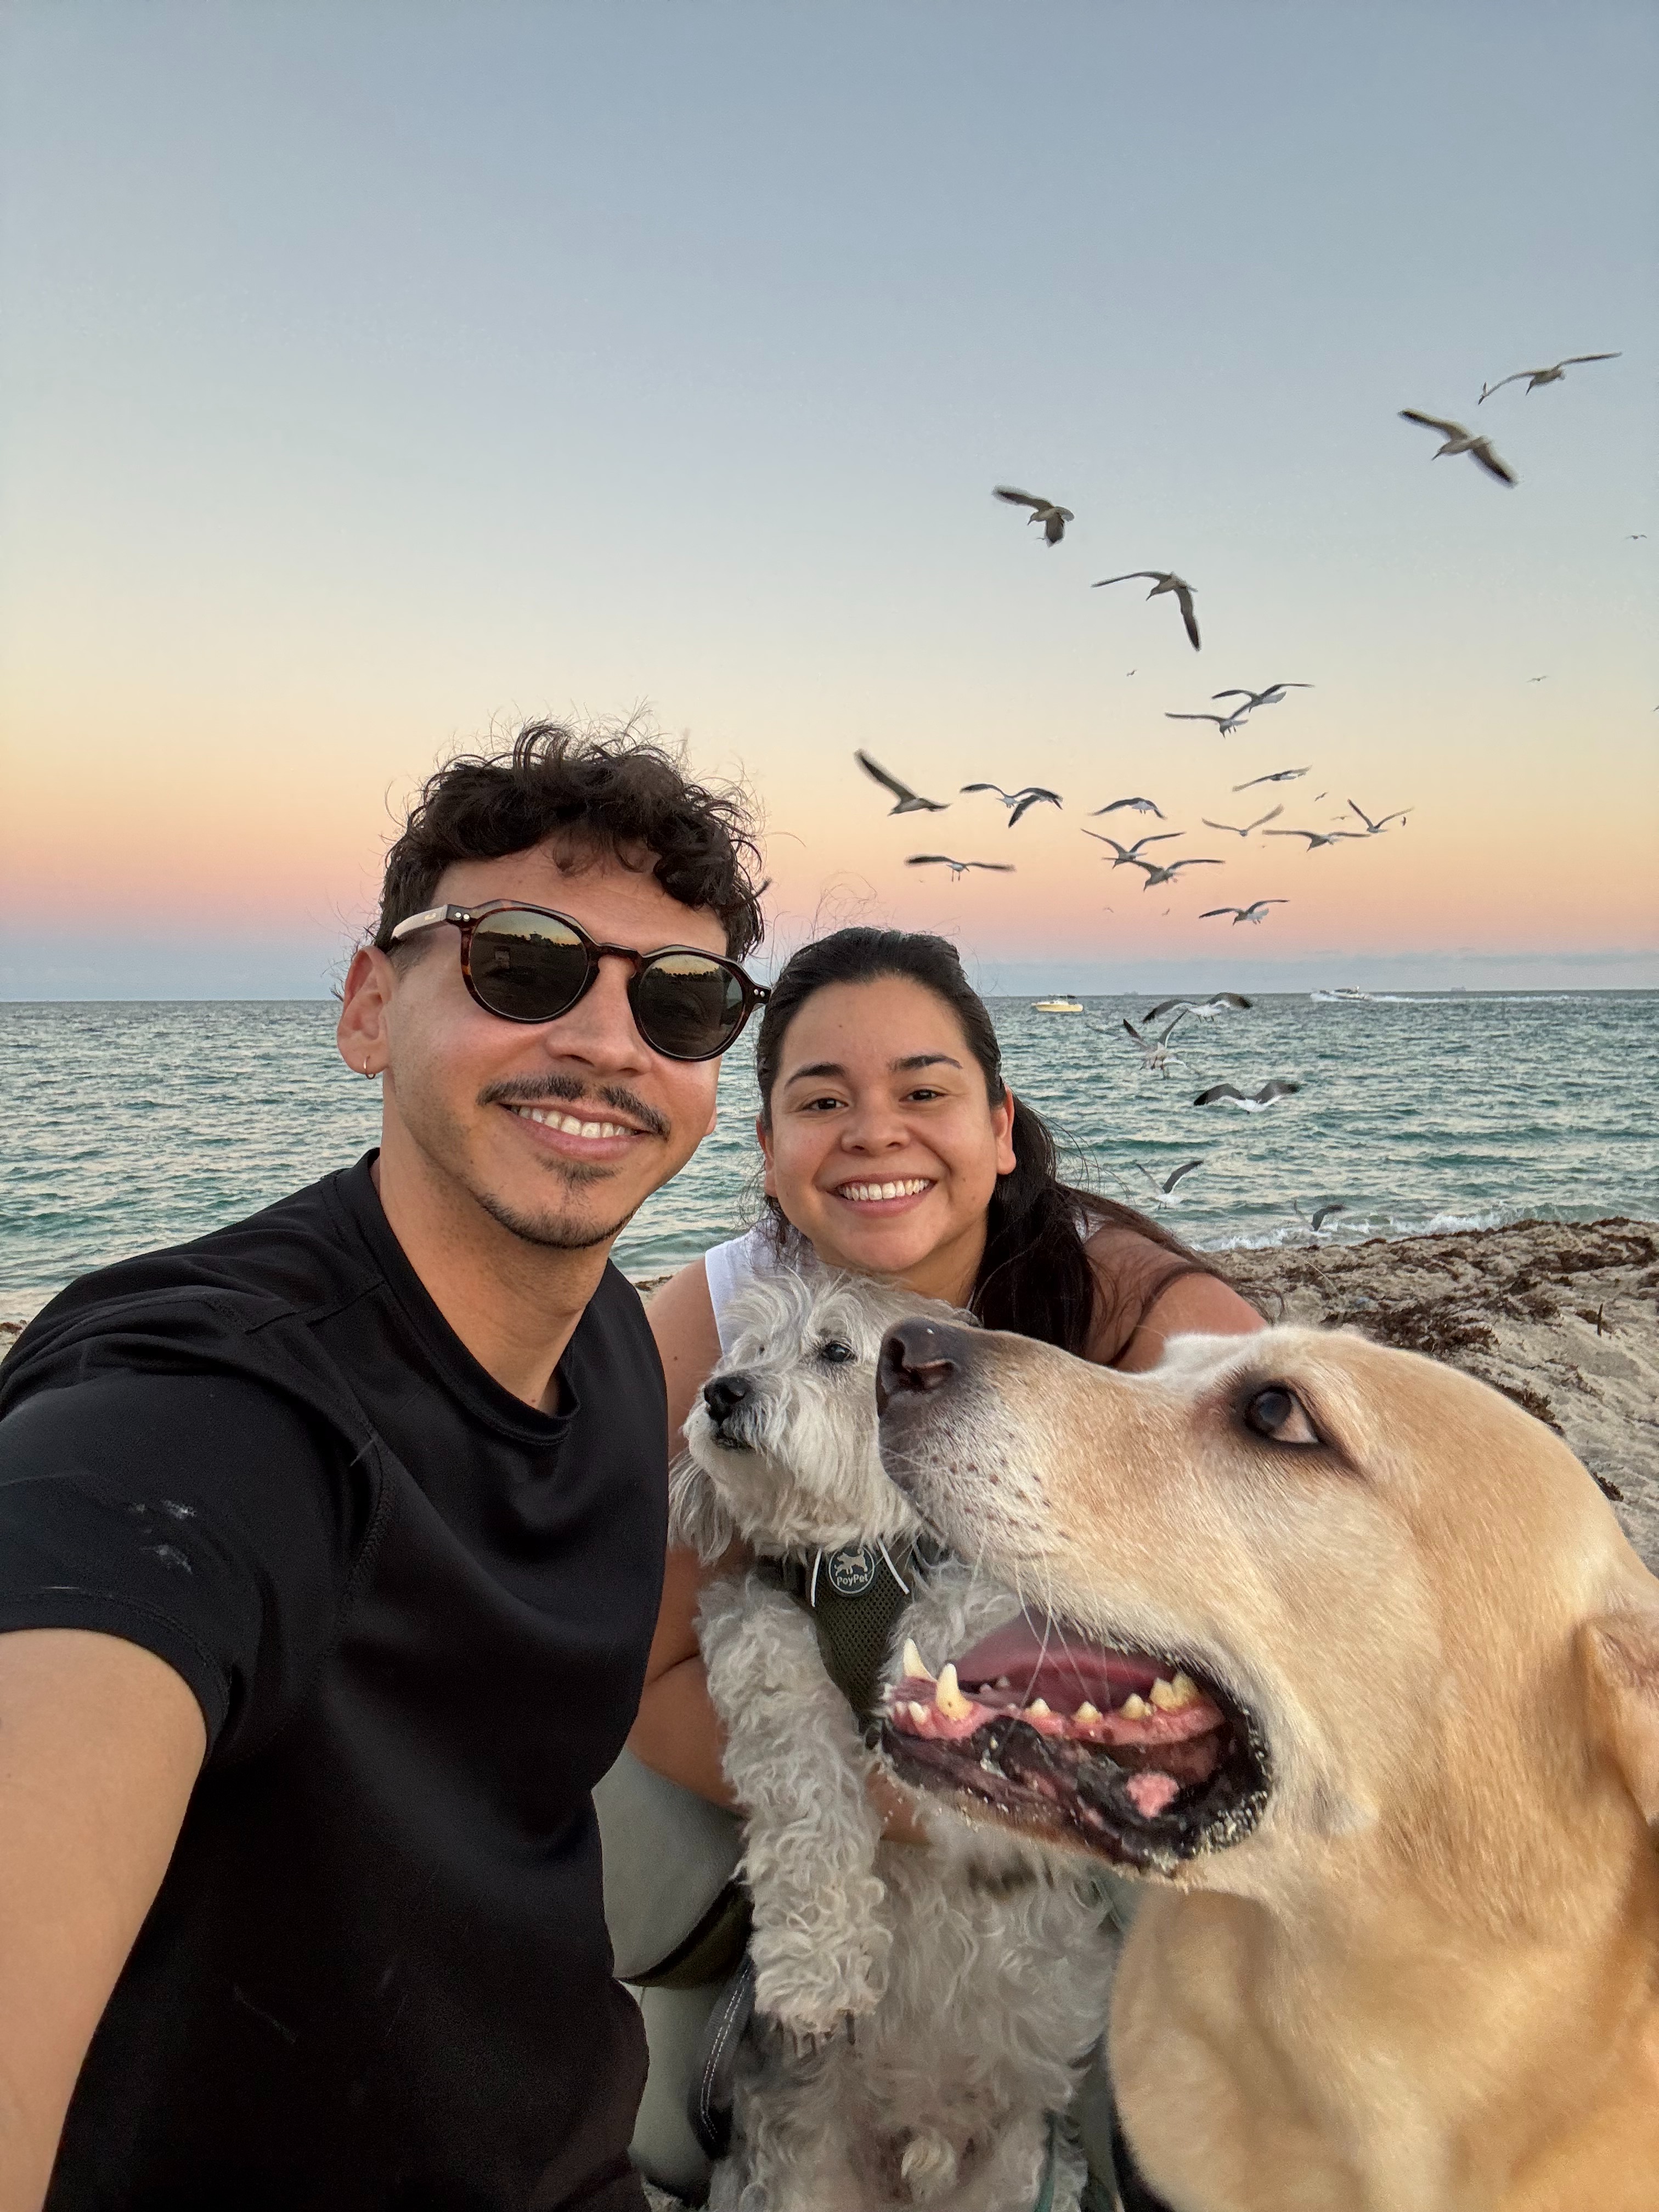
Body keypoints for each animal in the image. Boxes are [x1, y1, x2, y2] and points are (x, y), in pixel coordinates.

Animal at [675, 1268, 1120, 2212]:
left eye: (835, 1351)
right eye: (748, 1349)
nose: (722, 1392)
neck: (857, 1564)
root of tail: (928, 2145)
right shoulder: (766, 1657)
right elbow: (806, 1810)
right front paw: (817, 1971)